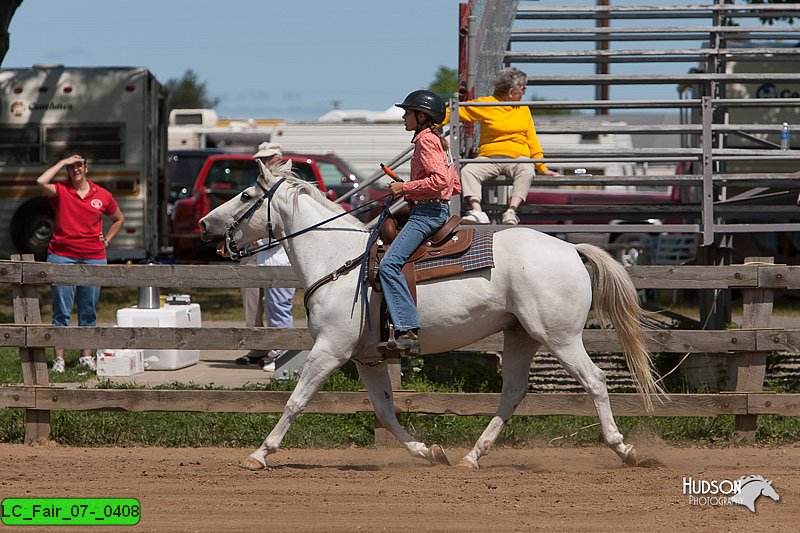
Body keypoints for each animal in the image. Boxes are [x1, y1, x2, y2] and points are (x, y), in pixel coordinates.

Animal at [200, 163, 664, 470]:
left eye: (245, 196)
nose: (204, 223)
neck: (339, 260)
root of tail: (571, 249)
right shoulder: (367, 358)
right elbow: (385, 413)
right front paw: (428, 451)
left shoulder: (330, 349)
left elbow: (296, 401)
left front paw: (259, 454)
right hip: (521, 336)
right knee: (512, 393)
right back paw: (472, 456)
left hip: (561, 337)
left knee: (595, 381)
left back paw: (624, 449)